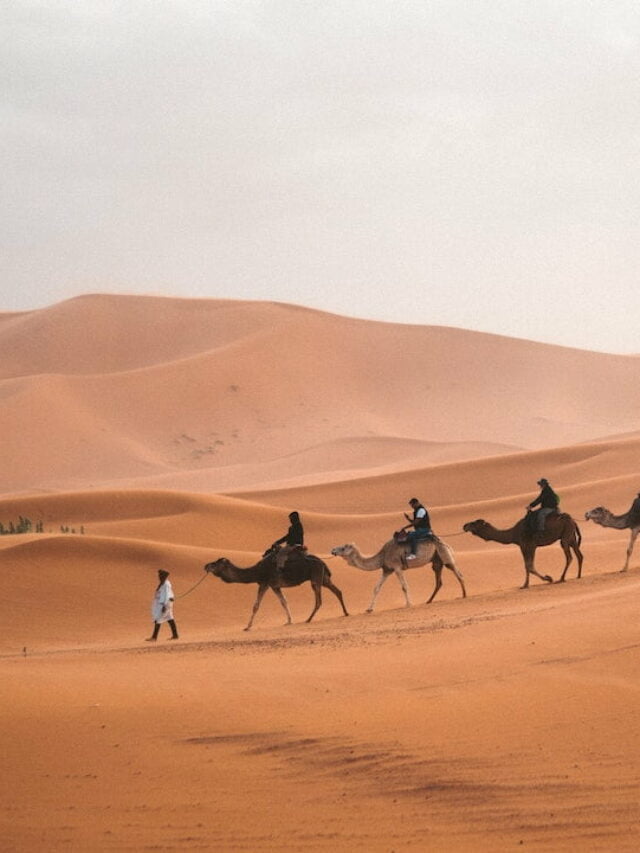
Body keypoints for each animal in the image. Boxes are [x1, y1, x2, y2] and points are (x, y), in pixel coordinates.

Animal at [202, 544, 348, 624]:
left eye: (215, 564)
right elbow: (284, 602)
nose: (206, 566)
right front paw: (289, 621)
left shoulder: (265, 583)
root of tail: (323, 562)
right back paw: (346, 613)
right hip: (323, 578)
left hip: (315, 577)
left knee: (319, 600)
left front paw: (247, 626)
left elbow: (256, 605)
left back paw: (308, 619)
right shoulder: (275, 586)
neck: (257, 571)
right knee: (337, 591)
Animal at [330, 532, 464, 612]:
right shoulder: (386, 570)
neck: (383, 555)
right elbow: (376, 588)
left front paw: (409, 604)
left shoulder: (397, 567)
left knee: (458, 573)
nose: (333, 550)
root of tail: (447, 543)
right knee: (439, 581)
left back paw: (464, 595)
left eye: (343, 547)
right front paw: (369, 609)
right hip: (436, 560)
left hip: (444, 553)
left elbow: (404, 586)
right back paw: (429, 601)